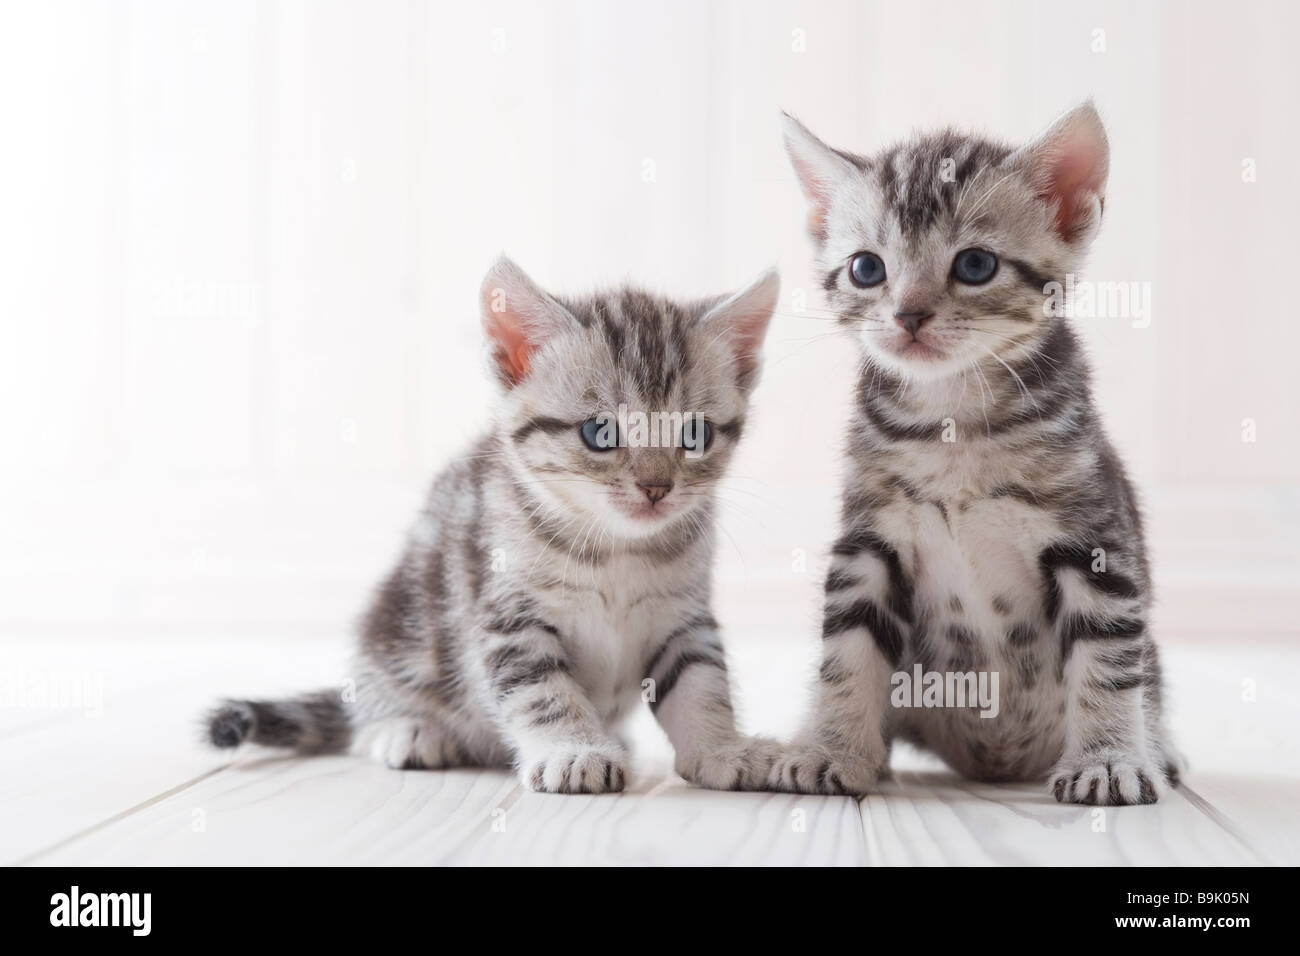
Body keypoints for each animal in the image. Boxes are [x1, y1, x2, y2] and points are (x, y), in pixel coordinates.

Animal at [205, 257, 780, 796]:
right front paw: (573, 750)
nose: (656, 488)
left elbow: (701, 683)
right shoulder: (506, 613)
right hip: (395, 623)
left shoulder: (682, 616)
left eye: (695, 434)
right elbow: (542, 691)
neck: (617, 548)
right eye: (600, 432)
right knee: (365, 710)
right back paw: (404, 729)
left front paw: (722, 749)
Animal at [769, 102, 1180, 806]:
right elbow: (847, 654)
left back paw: (1158, 751)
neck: (952, 423)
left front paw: (1108, 760)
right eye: (866, 269)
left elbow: (1107, 661)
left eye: (976, 265)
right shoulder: (868, 544)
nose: (907, 315)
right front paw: (831, 749)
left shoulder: (1095, 544)